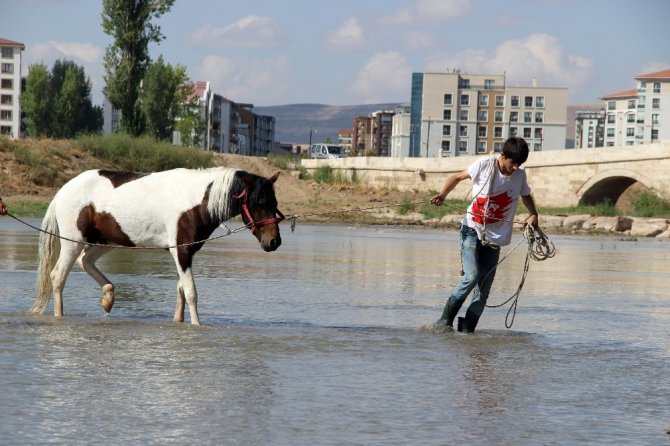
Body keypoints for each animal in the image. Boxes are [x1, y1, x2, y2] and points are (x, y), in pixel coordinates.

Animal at [27, 166, 284, 324]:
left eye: (275, 202)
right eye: (259, 202)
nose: (274, 241)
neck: (193, 200)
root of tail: (64, 189)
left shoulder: (187, 252)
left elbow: (181, 290)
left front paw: (178, 321)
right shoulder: (181, 250)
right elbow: (190, 292)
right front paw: (197, 325)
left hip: (107, 241)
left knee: (85, 261)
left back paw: (108, 296)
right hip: (74, 241)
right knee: (58, 276)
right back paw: (60, 316)